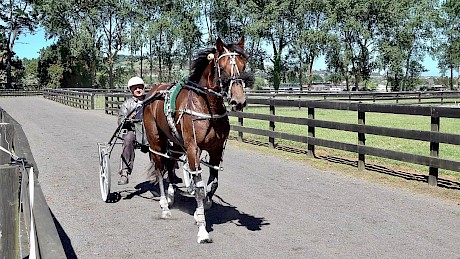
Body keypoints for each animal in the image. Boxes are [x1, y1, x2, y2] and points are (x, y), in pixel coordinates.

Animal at [144, 36, 250, 244]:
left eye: (243, 65)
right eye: (222, 67)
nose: (238, 101)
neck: (207, 107)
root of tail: (153, 91)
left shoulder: (217, 150)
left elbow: (212, 183)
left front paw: (204, 205)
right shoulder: (193, 149)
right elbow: (199, 187)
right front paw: (202, 229)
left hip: (175, 142)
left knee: (170, 165)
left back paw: (171, 196)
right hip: (156, 141)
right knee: (160, 169)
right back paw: (164, 205)